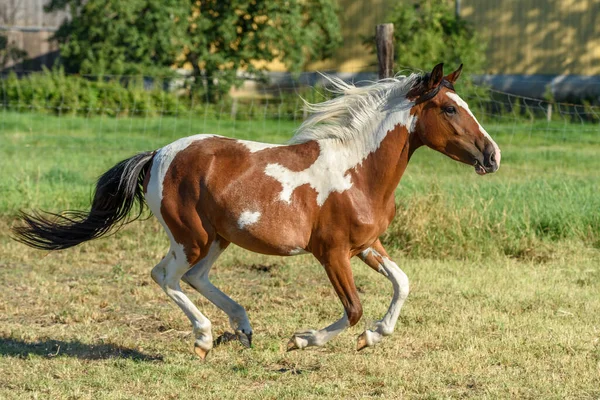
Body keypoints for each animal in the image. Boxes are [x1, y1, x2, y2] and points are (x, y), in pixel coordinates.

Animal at [14, 63, 502, 360]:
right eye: (450, 108)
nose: (492, 155)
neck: (358, 171)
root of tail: (156, 155)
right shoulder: (332, 252)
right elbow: (354, 308)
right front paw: (302, 339)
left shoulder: (367, 245)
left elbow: (402, 283)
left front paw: (372, 337)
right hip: (190, 238)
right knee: (166, 276)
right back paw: (205, 338)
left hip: (218, 237)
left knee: (193, 278)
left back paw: (243, 328)